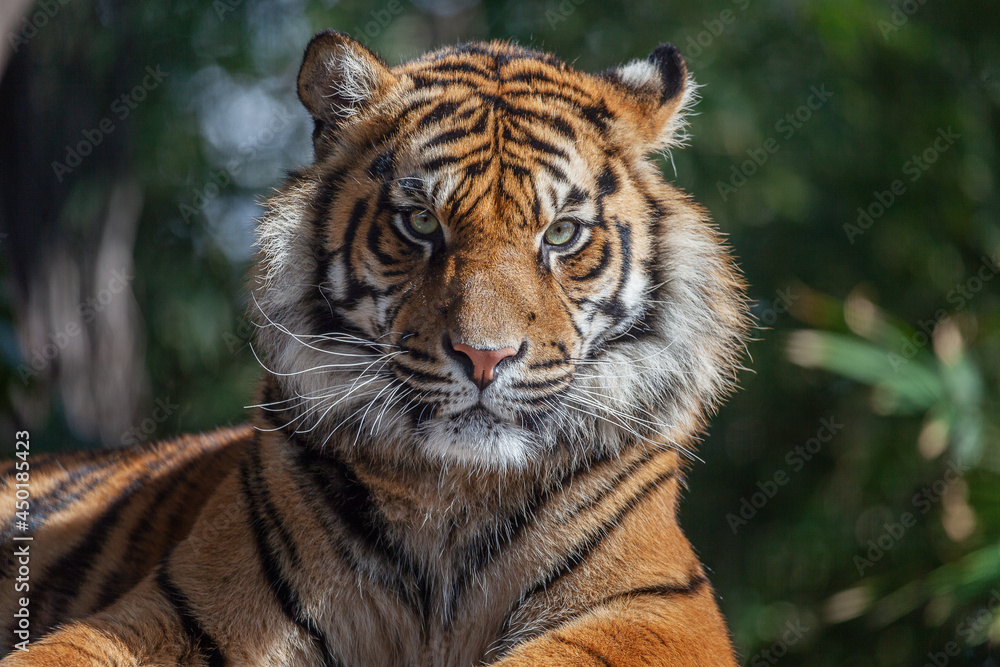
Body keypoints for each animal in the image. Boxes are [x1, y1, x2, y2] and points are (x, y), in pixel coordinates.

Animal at [0, 31, 749, 666]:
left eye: (561, 233)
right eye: (420, 222)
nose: (485, 357)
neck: (454, 497)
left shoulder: (656, 610)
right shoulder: (190, 608)